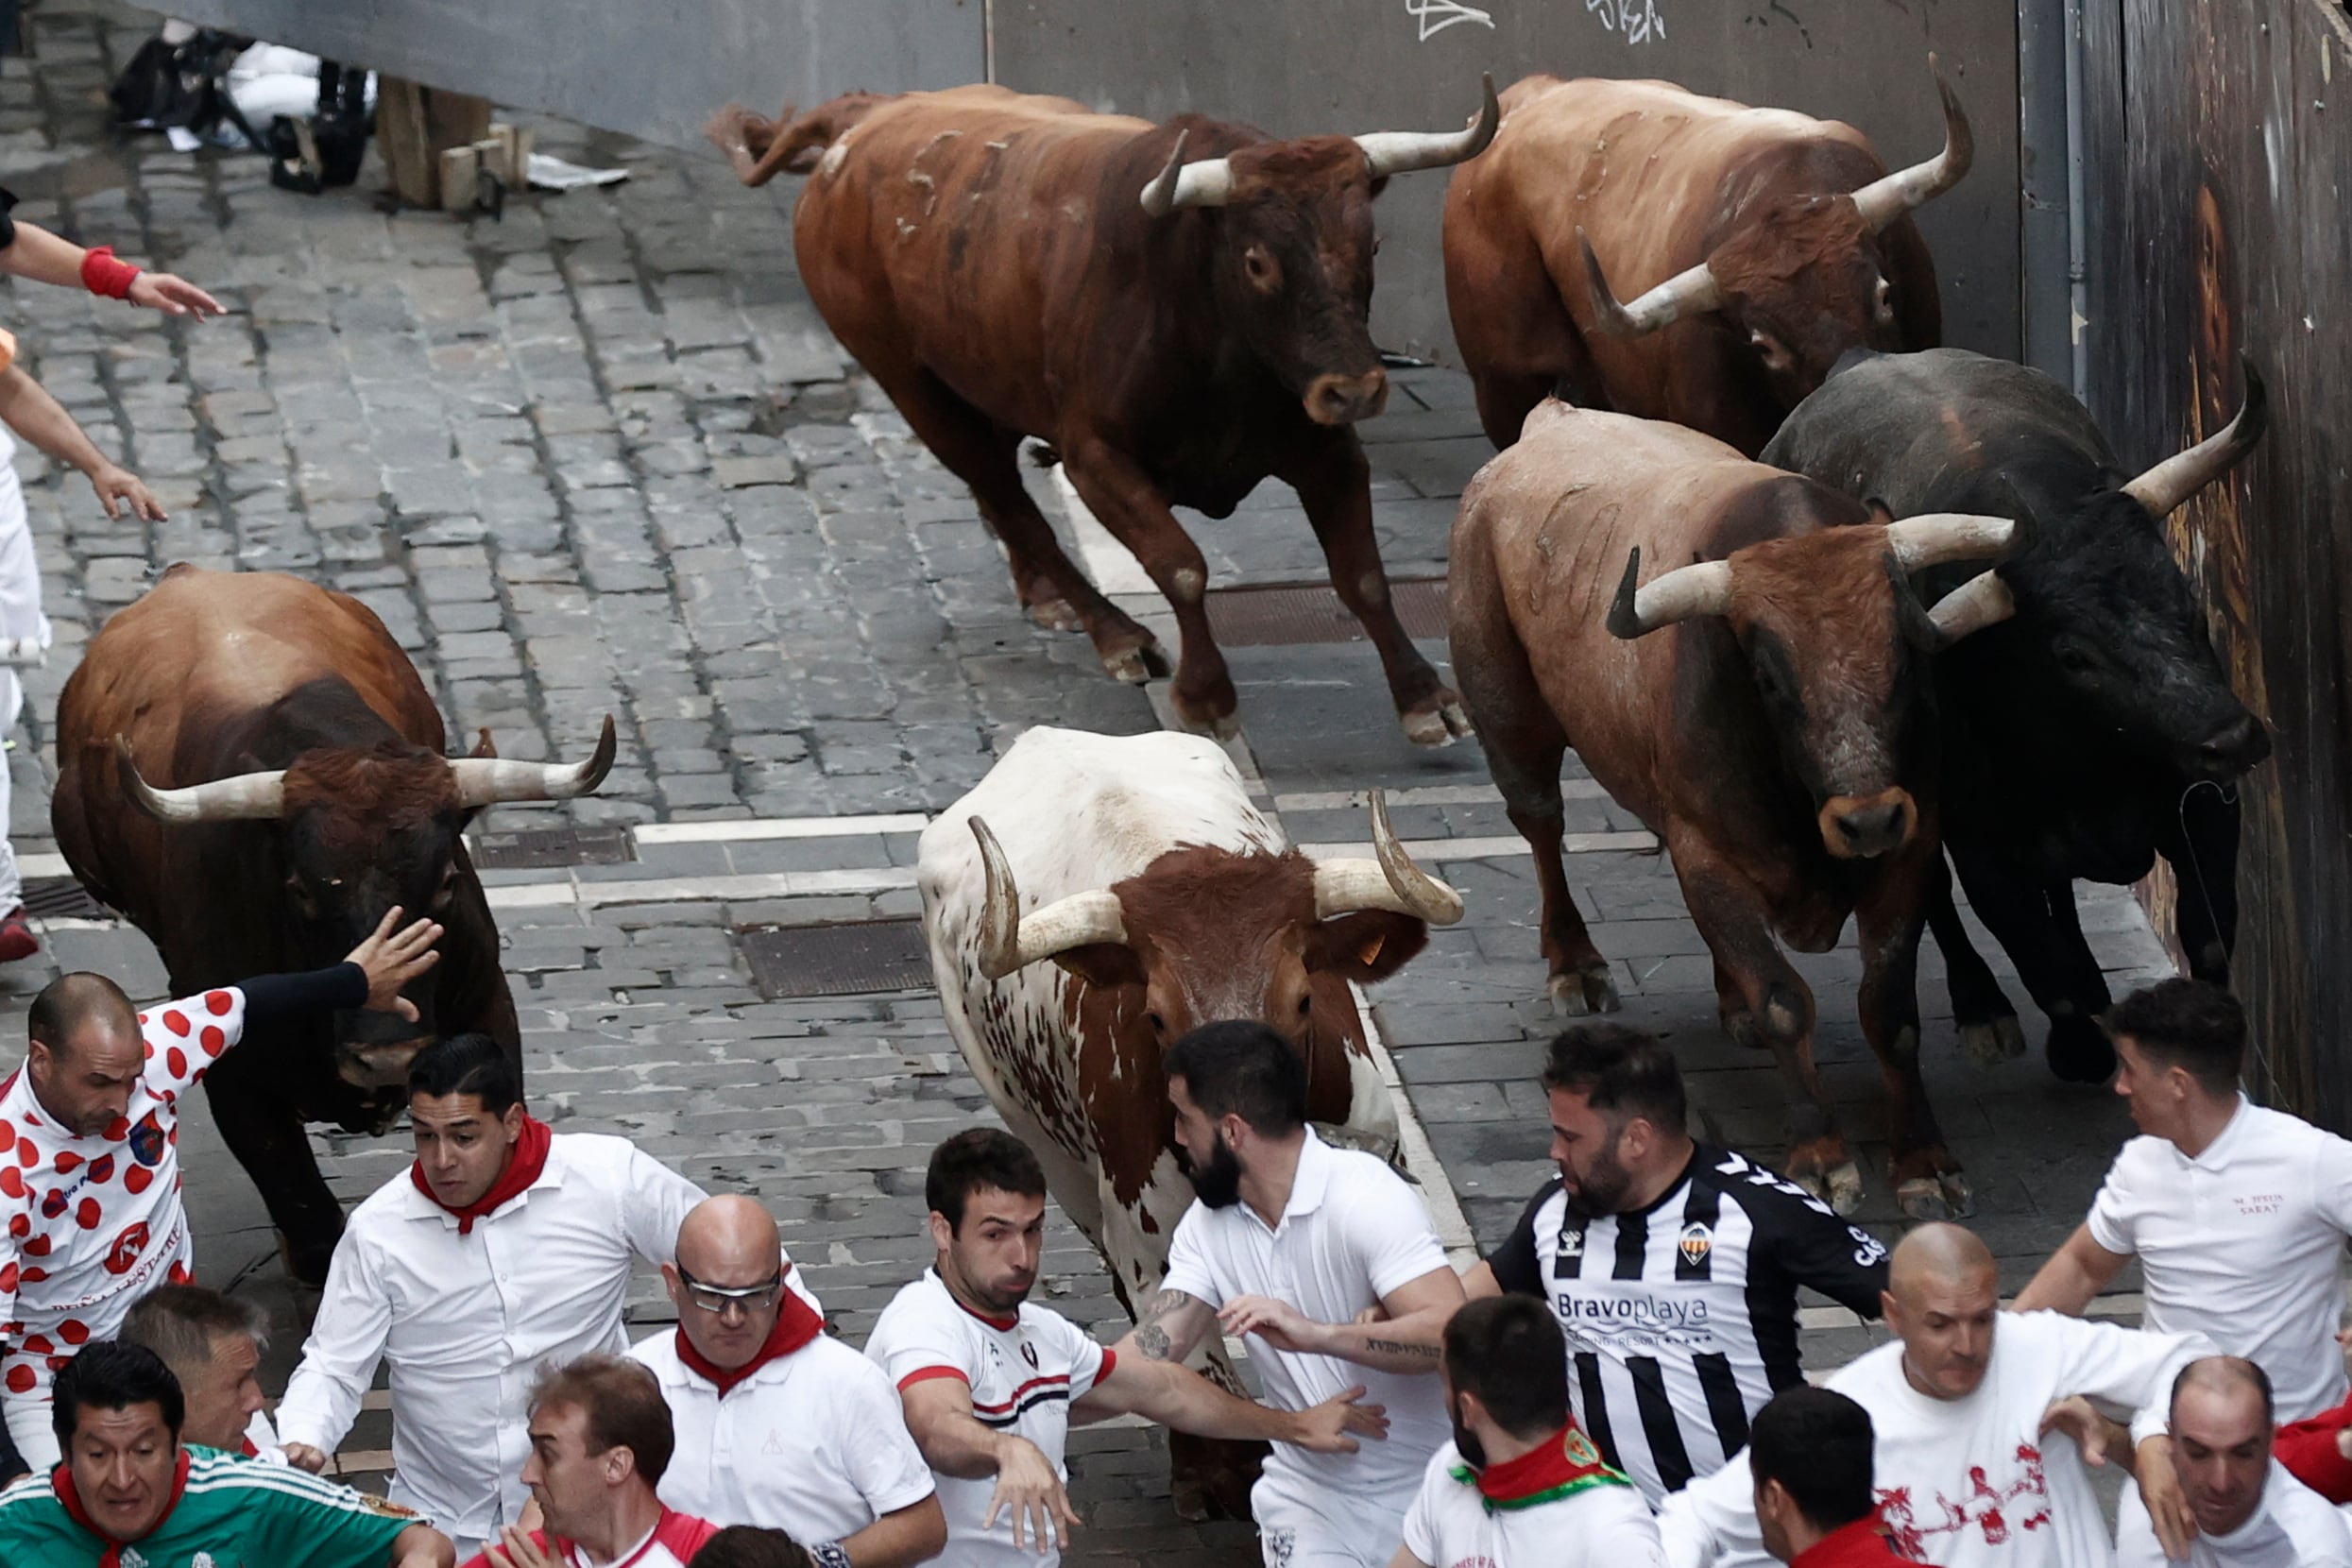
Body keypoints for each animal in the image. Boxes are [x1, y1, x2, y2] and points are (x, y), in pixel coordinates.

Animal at [51, 571, 616, 1278]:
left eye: (447, 882)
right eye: (300, 889)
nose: (387, 1056)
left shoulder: (487, 1009)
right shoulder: (238, 1085)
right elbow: (313, 1221)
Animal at [706, 80, 1495, 747]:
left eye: (1371, 244)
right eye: (1257, 262)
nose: (1354, 389)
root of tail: (865, 117)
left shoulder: (1327, 451)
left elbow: (1362, 575)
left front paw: (1425, 699)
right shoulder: (1094, 457)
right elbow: (1182, 567)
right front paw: (1204, 696)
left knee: (998, 495)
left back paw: (1043, 596)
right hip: (911, 385)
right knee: (1006, 498)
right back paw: (1112, 633)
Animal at [917, 728, 1448, 1523]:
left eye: (1302, 999)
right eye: (1157, 1016)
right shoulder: (1145, 1240)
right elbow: (1198, 1372)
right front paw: (1221, 1476)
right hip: (1044, 1146)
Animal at [1448, 400, 2022, 1222]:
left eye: (1906, 659)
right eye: (1771, 679)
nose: (1868, 820)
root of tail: (1550, 418)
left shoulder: (1908, 858)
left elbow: (1891, 1011)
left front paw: (1923, 1159)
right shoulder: (1711, 855)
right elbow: (1784, 1000)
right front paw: (1821, 1154)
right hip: (1507, 712)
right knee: (1541, 823)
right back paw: (1575, 964)